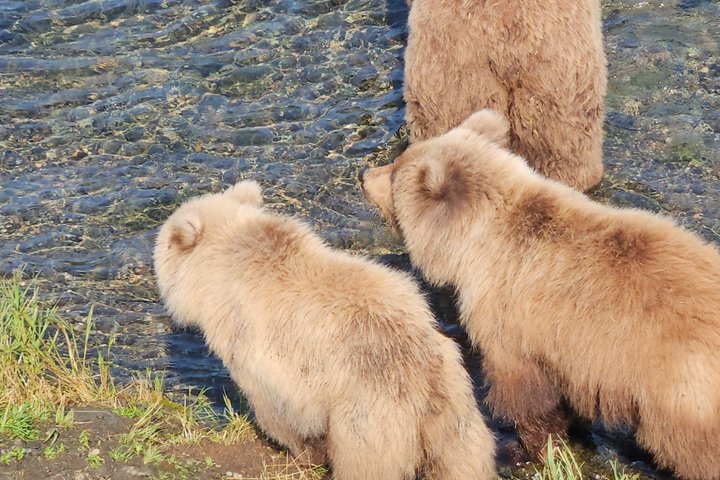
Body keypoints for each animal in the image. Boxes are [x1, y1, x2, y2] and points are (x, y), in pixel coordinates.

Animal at [153, 180, 496, 480]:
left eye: (163, 243)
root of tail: (427, 384)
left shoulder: (256, 343)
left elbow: (275, 408)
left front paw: (300, 452)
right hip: (457, 411)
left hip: (370, 412)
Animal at [360, 109, 720, 480]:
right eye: (398, 161)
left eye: (395, 172)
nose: (364, 174)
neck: (474, 245)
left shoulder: (511, 318)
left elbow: (525, 393)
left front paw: (521, 447)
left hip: (682, 393)